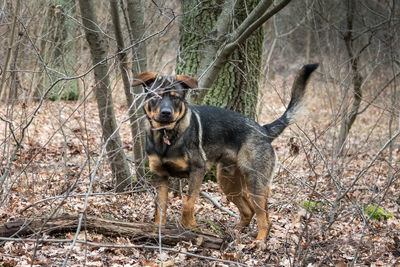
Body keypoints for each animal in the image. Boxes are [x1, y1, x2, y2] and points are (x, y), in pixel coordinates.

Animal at [134, 64, 318, 241]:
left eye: (175, 97)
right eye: (156, 96)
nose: (166, 113)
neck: (166, 137)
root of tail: (263, 130)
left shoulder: (197, 170)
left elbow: (187, 202)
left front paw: (190, 225)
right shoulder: (160, 176)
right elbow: (160, 209)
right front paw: (158, 232)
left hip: (254, 182)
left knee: (263, 218)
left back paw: (259, 242)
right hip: (228, 182)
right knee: (250, 211)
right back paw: (237, 232)